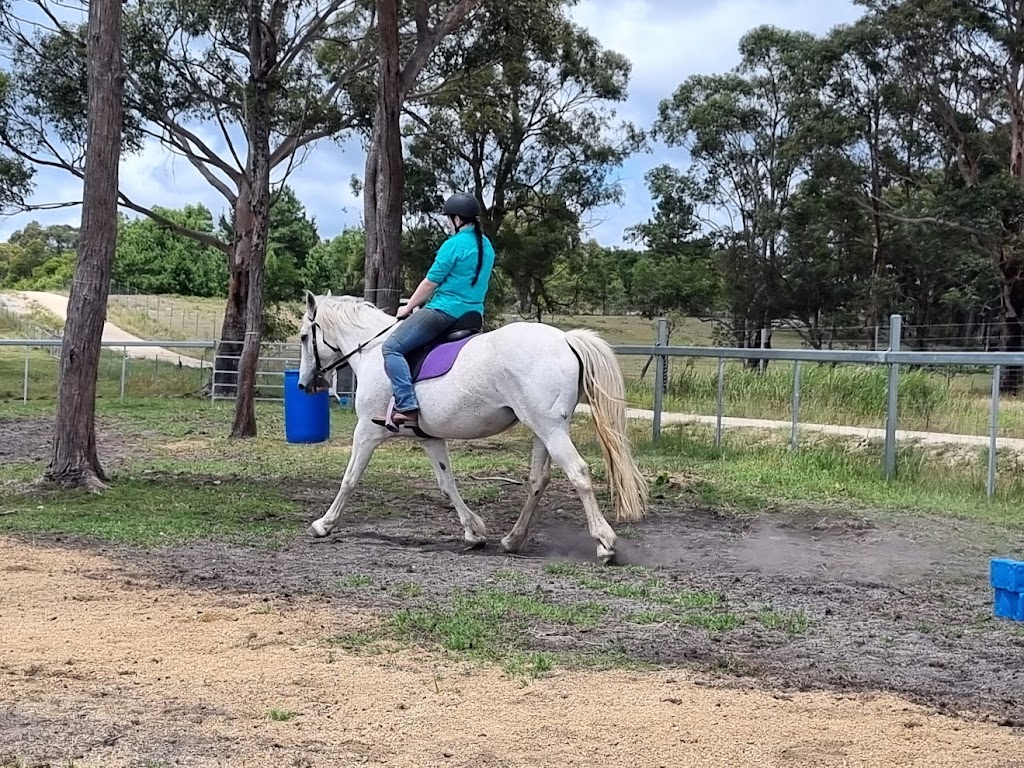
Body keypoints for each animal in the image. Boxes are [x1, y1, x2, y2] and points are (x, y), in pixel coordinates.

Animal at [296, 291, 648, 563]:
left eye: (303, 337)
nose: (303, 385)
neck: (371, 351)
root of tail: (564, 338)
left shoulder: (366, 433)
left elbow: (349, 479)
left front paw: (324, 524)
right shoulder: (430, 438)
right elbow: (446, 483)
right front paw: (473, 531)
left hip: (551, 431)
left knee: (579, 473)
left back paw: (604, 543)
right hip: (542, 431)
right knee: (538, 480)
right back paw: (513, 540)